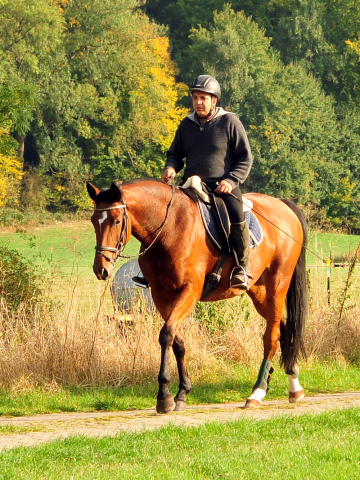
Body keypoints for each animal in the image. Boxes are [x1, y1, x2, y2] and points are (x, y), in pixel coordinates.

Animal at [86, 179, 306, 412]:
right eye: (94, 221)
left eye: (117, 221)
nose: (101, 269)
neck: (169, 228)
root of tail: (281, 205)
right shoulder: (161, 296)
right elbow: (177, 341)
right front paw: (182, 393)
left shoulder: (189, 291)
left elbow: (166, 335)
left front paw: (164, 396)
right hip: (260, 293)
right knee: (282, 328)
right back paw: (293, 385)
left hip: (277, 285)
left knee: (271, 337)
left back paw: (257, 392)